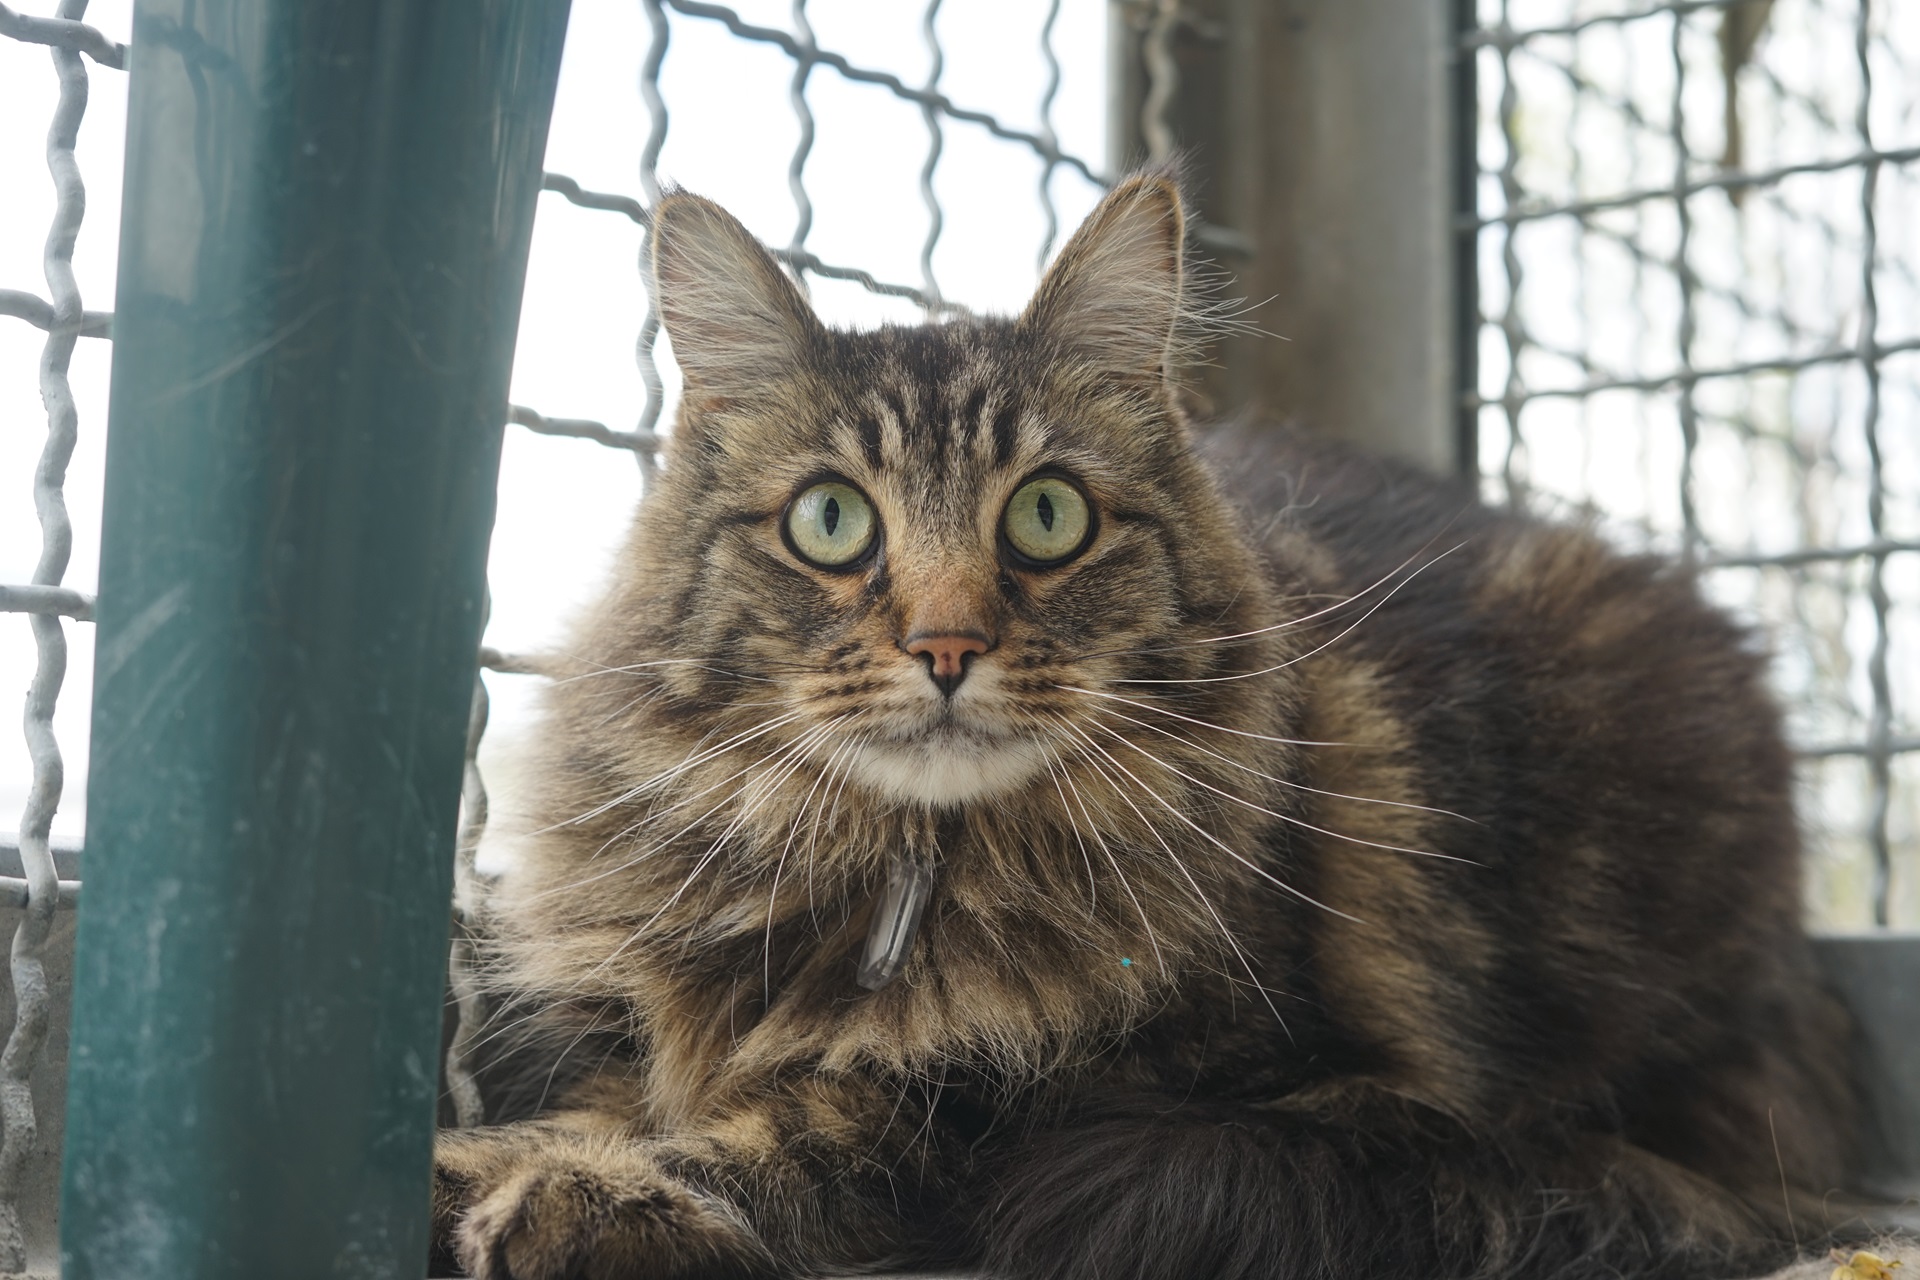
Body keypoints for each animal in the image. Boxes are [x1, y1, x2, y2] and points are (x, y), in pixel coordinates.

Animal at [428, 172, 1850, 1280]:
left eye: (1047, 515)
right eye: (831, 521)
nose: (947, 647)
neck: (902, 877)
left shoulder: (1070, 1097)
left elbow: (802, 1133)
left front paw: (588, 1197)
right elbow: (600, 1099)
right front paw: (483, 1166)